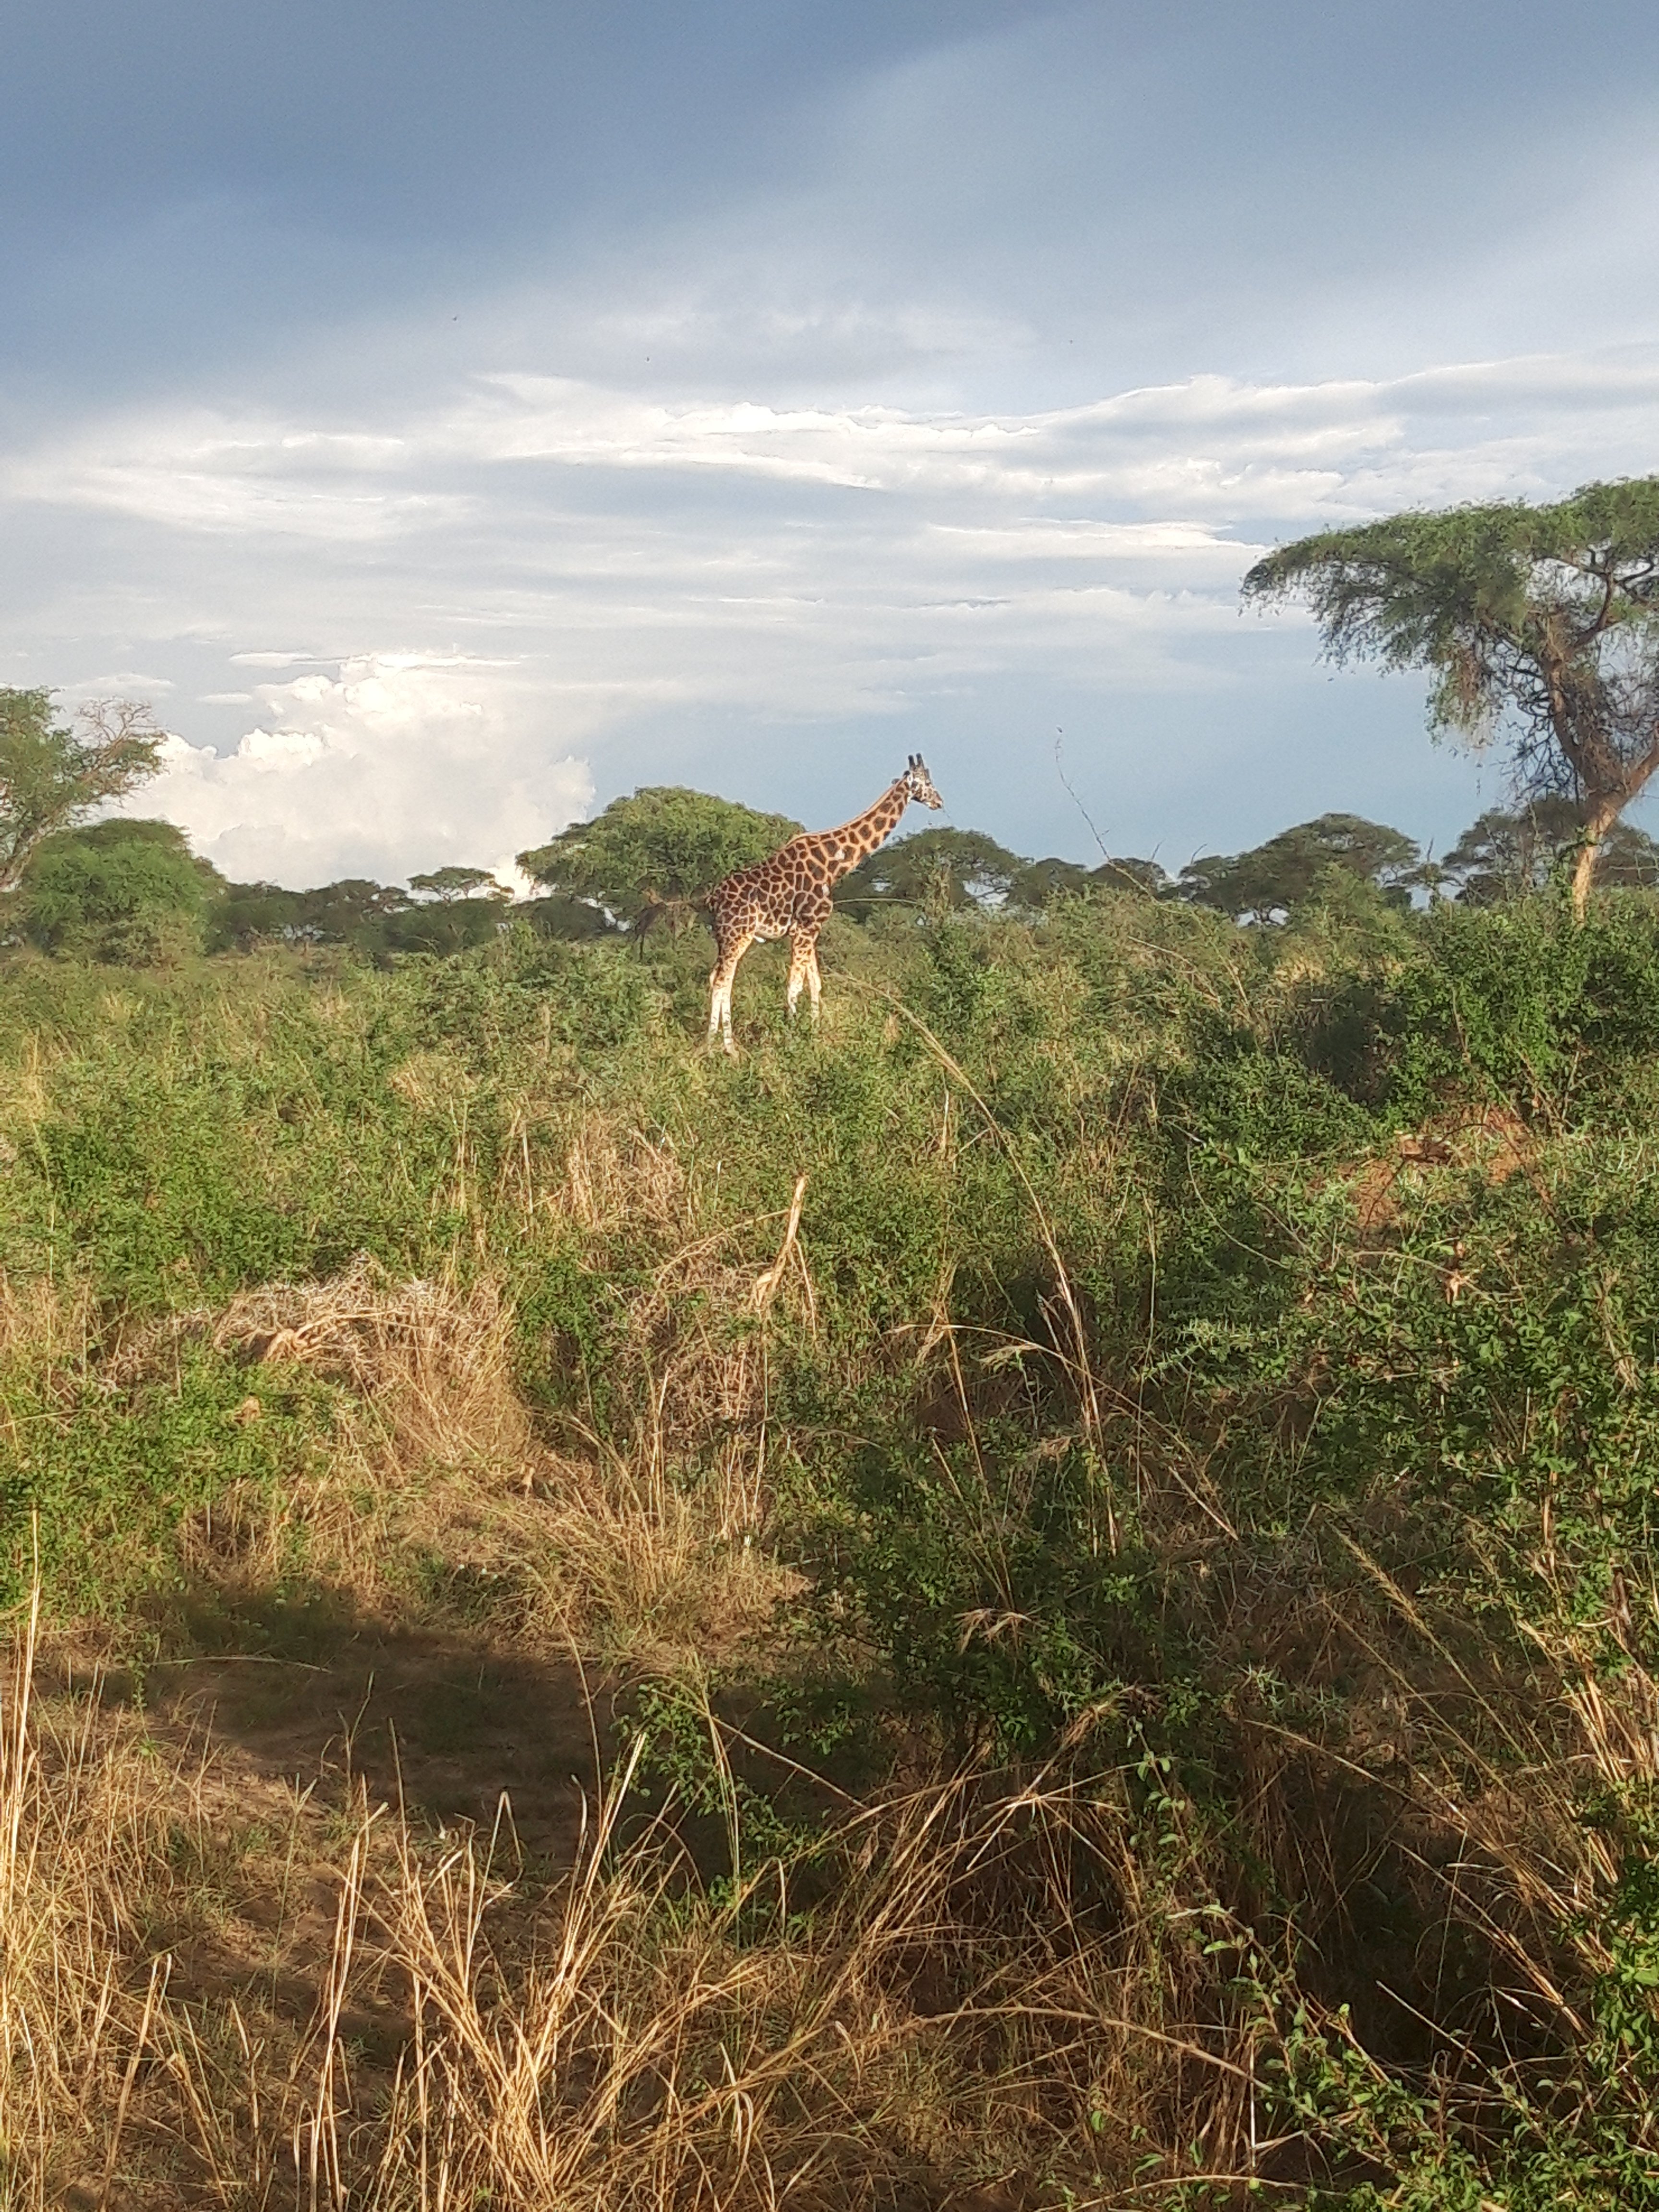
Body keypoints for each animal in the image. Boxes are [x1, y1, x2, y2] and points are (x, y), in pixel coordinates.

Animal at [703, 752, 947, 1053]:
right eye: (928, 782)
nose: (939, 802)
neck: (834, 863)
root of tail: (712, 899)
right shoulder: (807, 927)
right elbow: (795, 985)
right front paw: (794, 1040)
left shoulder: (807, 930)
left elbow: (815, 983)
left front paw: (814, 1035)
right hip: (738, 935)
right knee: (722, 981)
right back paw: (726, 1049)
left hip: (727, 937)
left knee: (718, 979)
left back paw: (717, 1045)